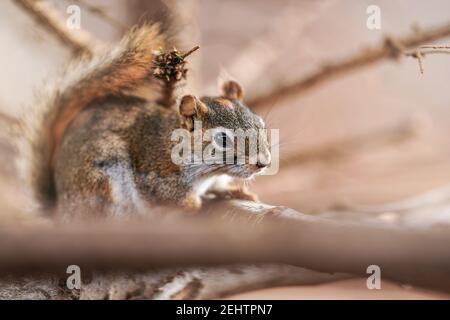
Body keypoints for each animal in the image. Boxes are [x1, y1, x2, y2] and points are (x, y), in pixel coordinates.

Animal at [16, 24, 270, 220]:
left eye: (260, 124)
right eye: (222, 139)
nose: (263, 163)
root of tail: (61, 210)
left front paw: (235, 192)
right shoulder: (157, 174)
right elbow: (168, 195)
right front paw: (196, 203)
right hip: (101, 179)